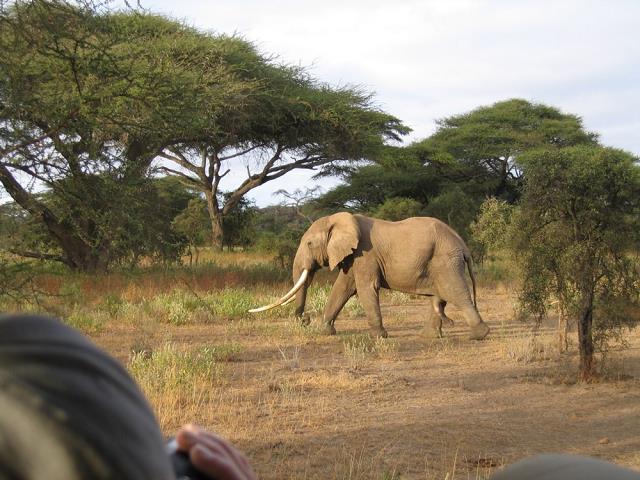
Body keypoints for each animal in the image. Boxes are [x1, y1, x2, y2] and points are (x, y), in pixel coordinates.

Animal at [250, 212, 490, 340]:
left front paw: (378, 337)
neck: (340, 219)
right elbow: (343, 288)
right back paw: (429, 336)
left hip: (445, 260)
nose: (305, 320)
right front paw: (325, 331)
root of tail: (462, 244)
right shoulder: (352, 256)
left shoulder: (365, 254)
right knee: (439, 298)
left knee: (455, 292)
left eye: (309, 243)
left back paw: (479, 335)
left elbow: (366, 288)